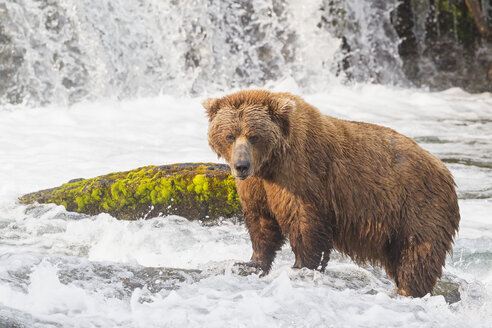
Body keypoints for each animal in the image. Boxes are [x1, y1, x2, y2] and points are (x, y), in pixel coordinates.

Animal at [202, 89, 460, 298]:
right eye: (229, 135)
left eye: (254, 135)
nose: (241, 166)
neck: (270, 163)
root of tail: (445, 171)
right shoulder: (257, 185)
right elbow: (261, 220)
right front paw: (249, 263)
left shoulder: (302, 173)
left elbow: (304, 221)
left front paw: (302, 266)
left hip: (416, 207)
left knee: (417, 255)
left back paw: (407, 290)